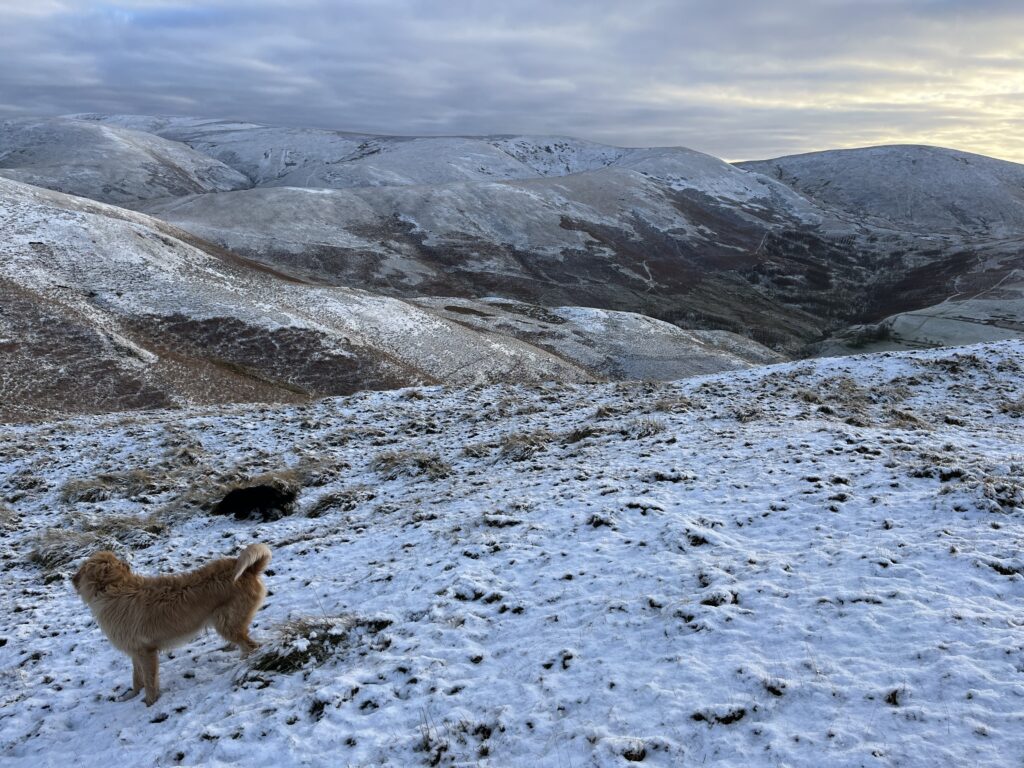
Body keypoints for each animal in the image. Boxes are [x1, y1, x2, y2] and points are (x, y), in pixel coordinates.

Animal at [72, 544, 272, 708]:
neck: (115, 587)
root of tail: (248, 570)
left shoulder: (146, 652)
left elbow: (150, 681)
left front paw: (149, 703)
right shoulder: (135, 651)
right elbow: (137, 678)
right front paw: (131, 695)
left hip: (226, 623)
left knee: (251, 646)